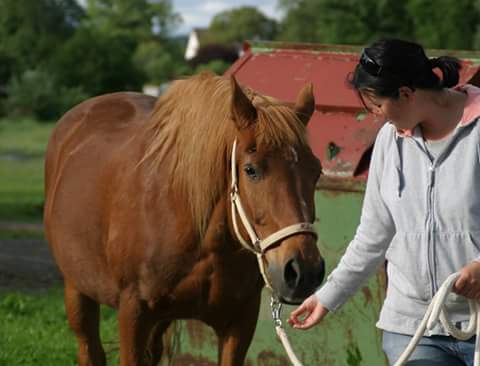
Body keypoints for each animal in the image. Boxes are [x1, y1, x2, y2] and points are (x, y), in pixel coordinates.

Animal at [44, 72, 326, 366]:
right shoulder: (132, 313)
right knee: (90, 350)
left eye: (316, 171)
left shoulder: (240, 320)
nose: (304, 271)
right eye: (251, 170)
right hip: (76, 289)